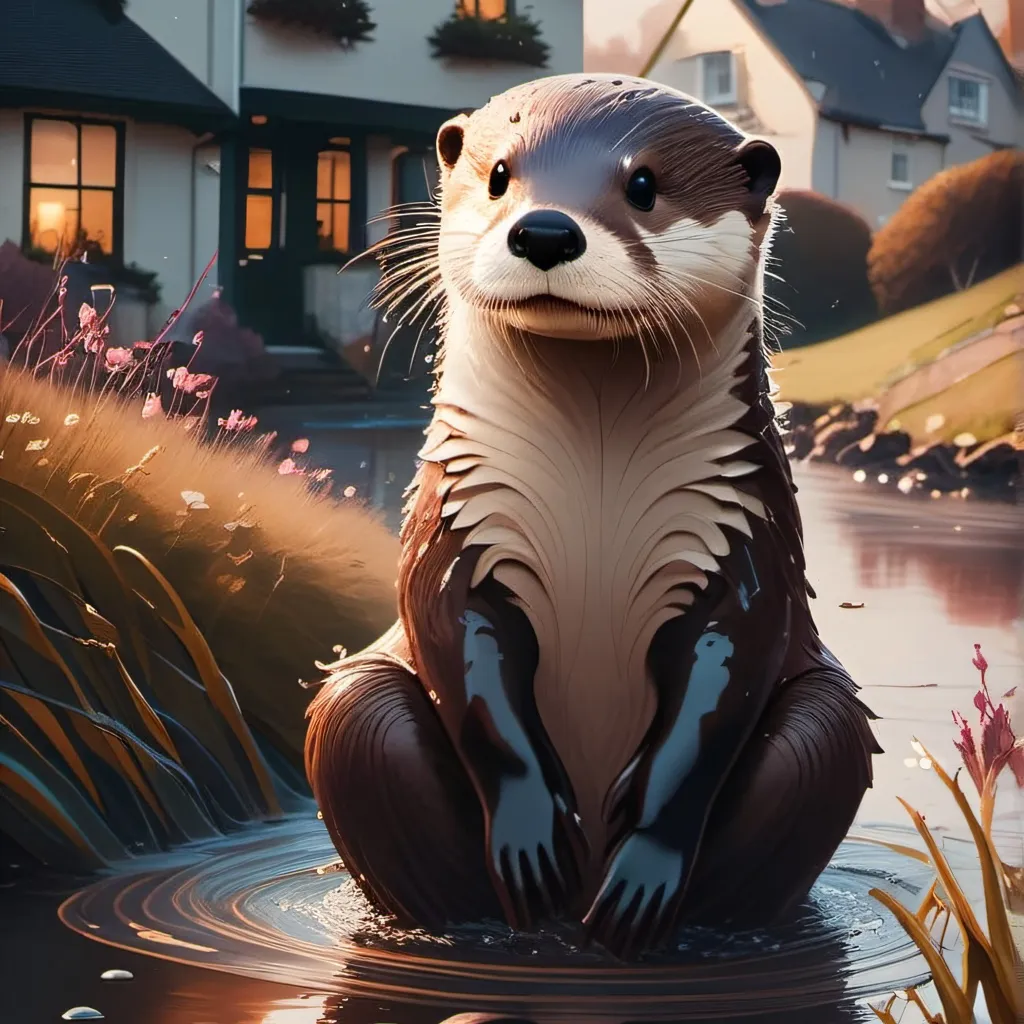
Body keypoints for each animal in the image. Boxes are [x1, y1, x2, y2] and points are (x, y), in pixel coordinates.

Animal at [305, 73, 880, 958]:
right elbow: (458, 637)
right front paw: (531, 827)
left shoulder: (743, 530)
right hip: (358, 715)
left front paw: (642, 862)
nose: (544, 229)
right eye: (499, 174)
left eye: (644, 183)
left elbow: (726, 667)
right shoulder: (457, 517)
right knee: (362, 731)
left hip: (826, 727)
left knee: (816, 749)